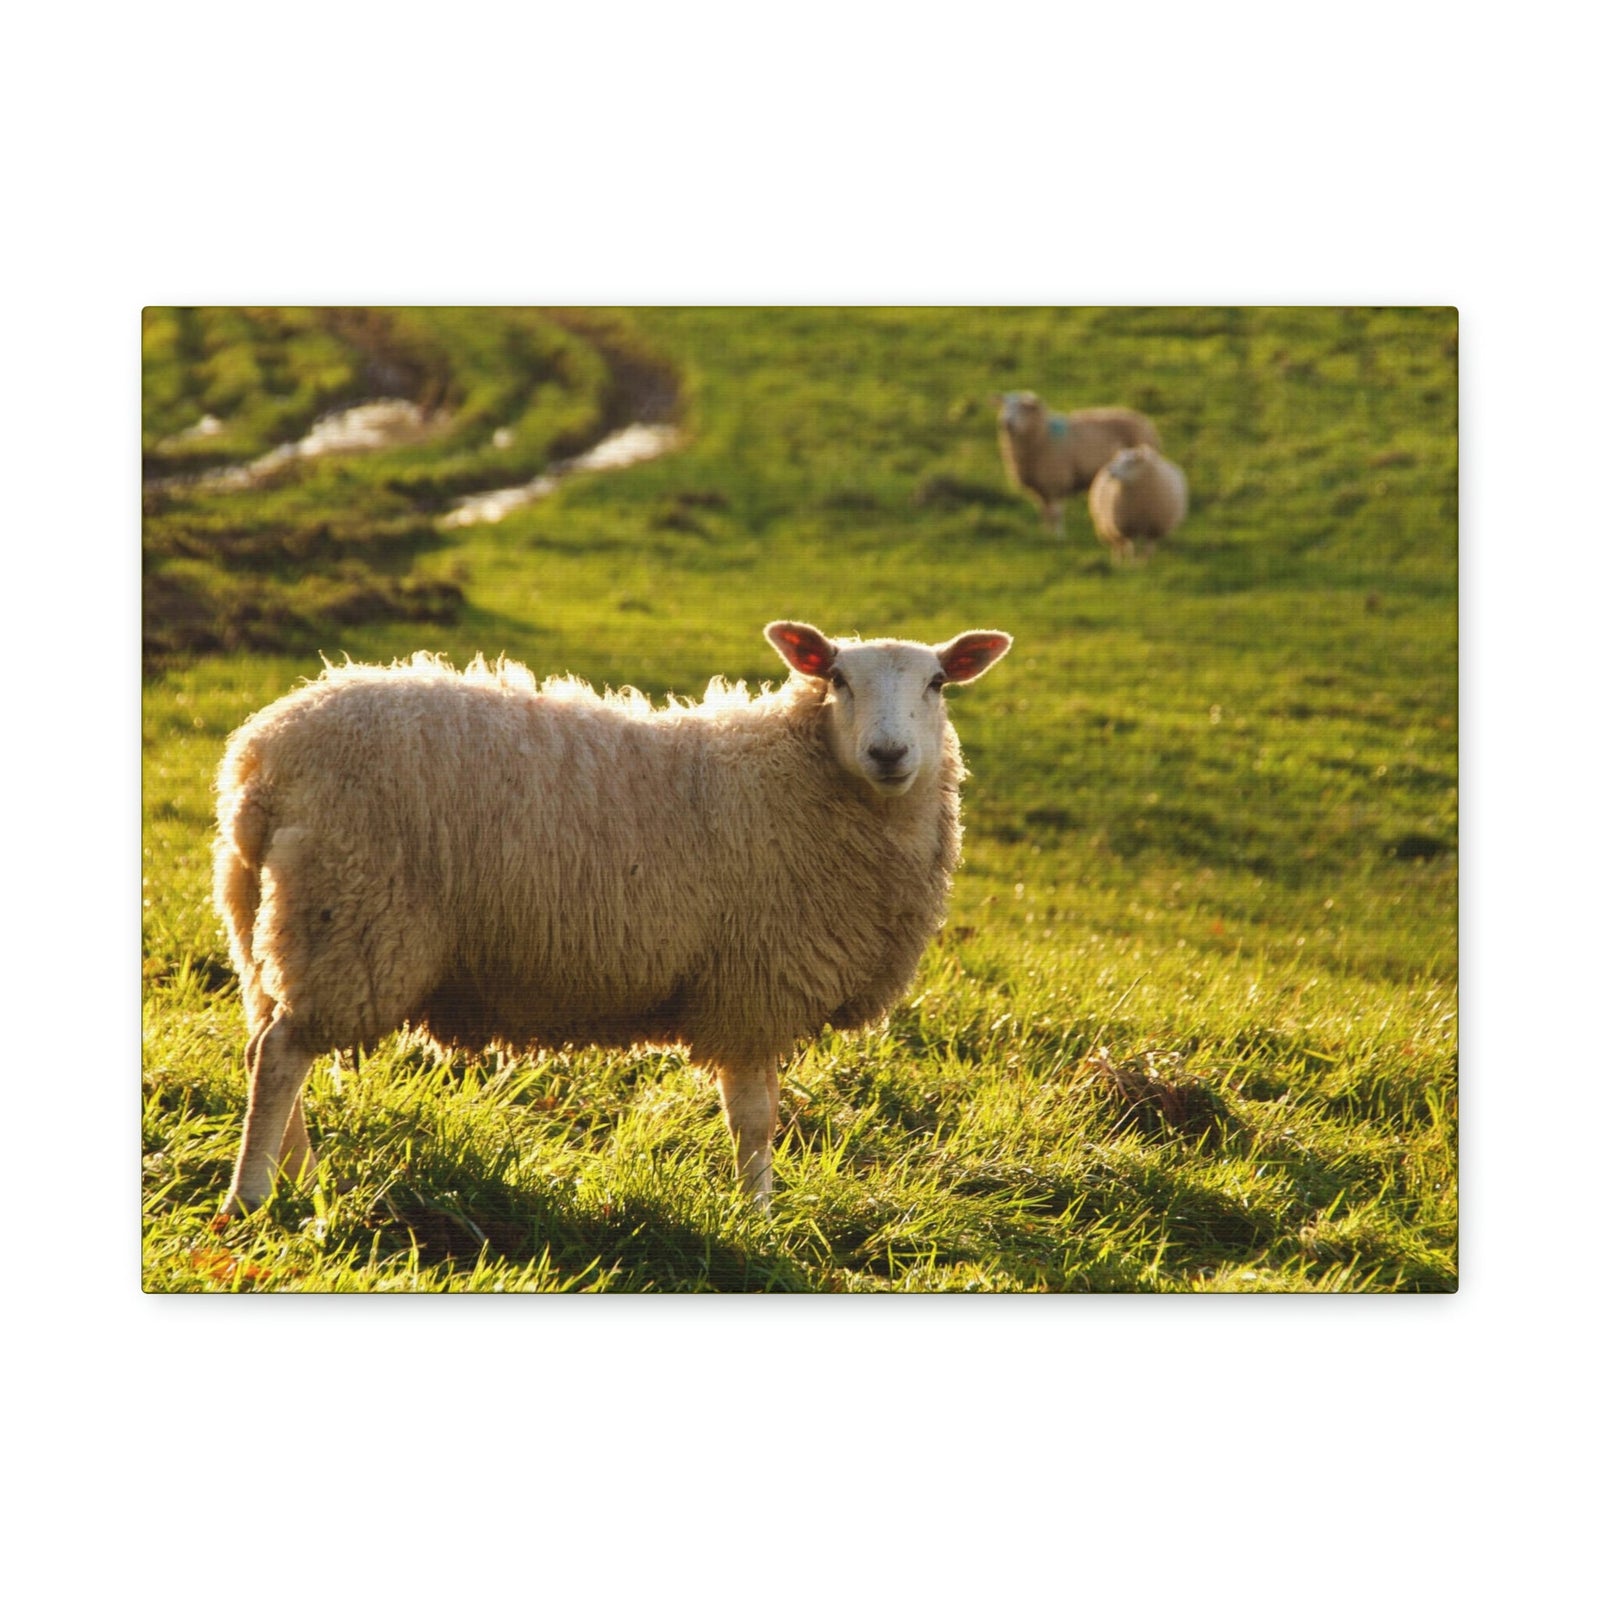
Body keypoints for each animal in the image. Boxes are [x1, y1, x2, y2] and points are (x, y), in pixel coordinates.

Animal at [211, 620, 1013, 1217]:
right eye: (838, 679)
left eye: (937, 683)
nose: (889, 752)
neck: (799, 774)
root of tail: (261, 758)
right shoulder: (752, 984)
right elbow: (755, 1118)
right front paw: (757, 1217)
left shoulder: (755, 988)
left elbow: (764, 1112)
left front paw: (757, 1209)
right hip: (350, 918)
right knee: (282, 1054)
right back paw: (250, 1198)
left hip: (270, 923)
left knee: (263, 1046)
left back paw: (300, 1181)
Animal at [995, 390, 1161, 536]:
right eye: (1005, 405)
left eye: (1023, 408)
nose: (1006, 423)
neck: (1042, 436)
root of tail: (1143, 420)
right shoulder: (1040, 487)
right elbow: (1045, 513)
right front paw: (1045, 534)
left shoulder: (1056, 482)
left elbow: (1056, 513)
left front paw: (1058, 536)